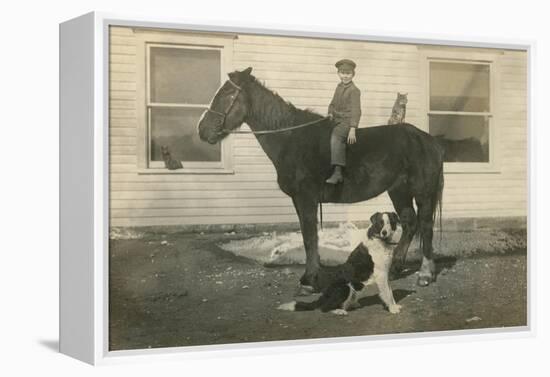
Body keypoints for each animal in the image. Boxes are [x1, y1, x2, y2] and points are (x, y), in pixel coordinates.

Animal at [198, 67, 444, 290]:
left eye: (228, 94)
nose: (202, 130)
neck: (291, 138)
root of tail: (428, 139)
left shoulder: (306, 198)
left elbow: (309, 237)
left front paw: (310, 279)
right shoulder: (299, 200)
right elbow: (310, 236)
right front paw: (312, 274)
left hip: (422, 192)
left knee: (425, 226)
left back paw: (425, 274)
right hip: (398, 190)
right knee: (410, 223)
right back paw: (395, 269)